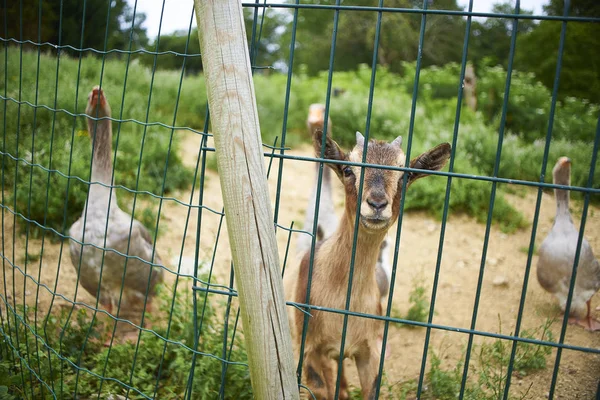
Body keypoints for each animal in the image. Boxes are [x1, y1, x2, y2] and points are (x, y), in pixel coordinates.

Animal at [290, 130, 450, 398]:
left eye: (406, 174)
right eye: (348, 169)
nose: (376, 204)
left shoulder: (369, 353)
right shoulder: (310, 349)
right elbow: (322, 389)